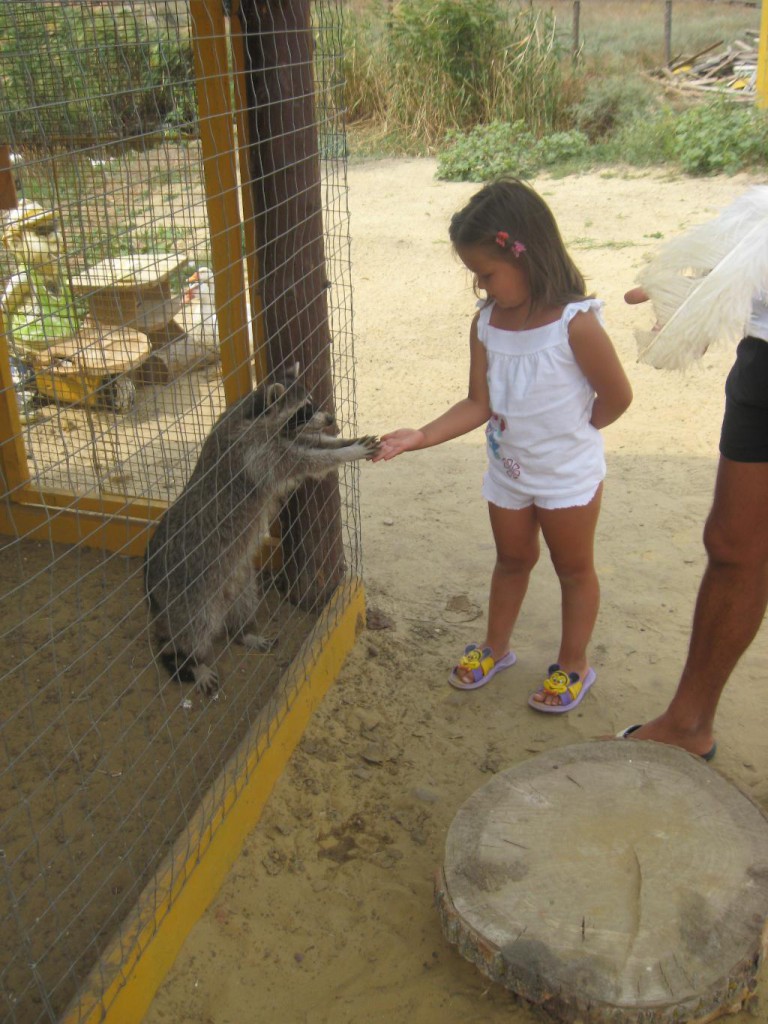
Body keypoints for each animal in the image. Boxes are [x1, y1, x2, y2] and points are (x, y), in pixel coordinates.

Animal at [144, 368, 378, 696]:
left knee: (243, 603)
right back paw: (194, 661)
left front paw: (343, 440)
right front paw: (348, 452)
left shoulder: (276, 438)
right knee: (195, 630)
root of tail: (151, 587)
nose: (331, 418)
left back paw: (244, 633)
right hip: (189, 595)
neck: (256, 412)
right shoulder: (257, 454)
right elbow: (307, 461)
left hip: (239, 579)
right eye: (304, 409)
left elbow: (313, 443)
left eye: (311, 401)